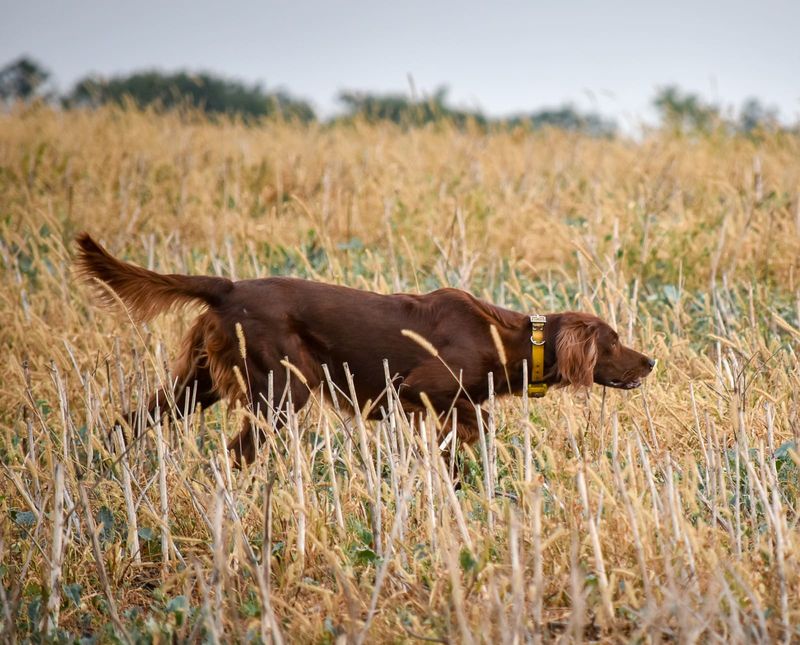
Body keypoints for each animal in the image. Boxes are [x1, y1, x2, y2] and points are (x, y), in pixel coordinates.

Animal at [75, 234, 652, 466]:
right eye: (614, 341)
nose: (651, 361)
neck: (506, 335)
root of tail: (229, 286)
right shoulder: (419, 389)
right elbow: (477, 421)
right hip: (282, 390)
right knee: (237, 450)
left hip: (200, 383)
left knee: (131, 418)